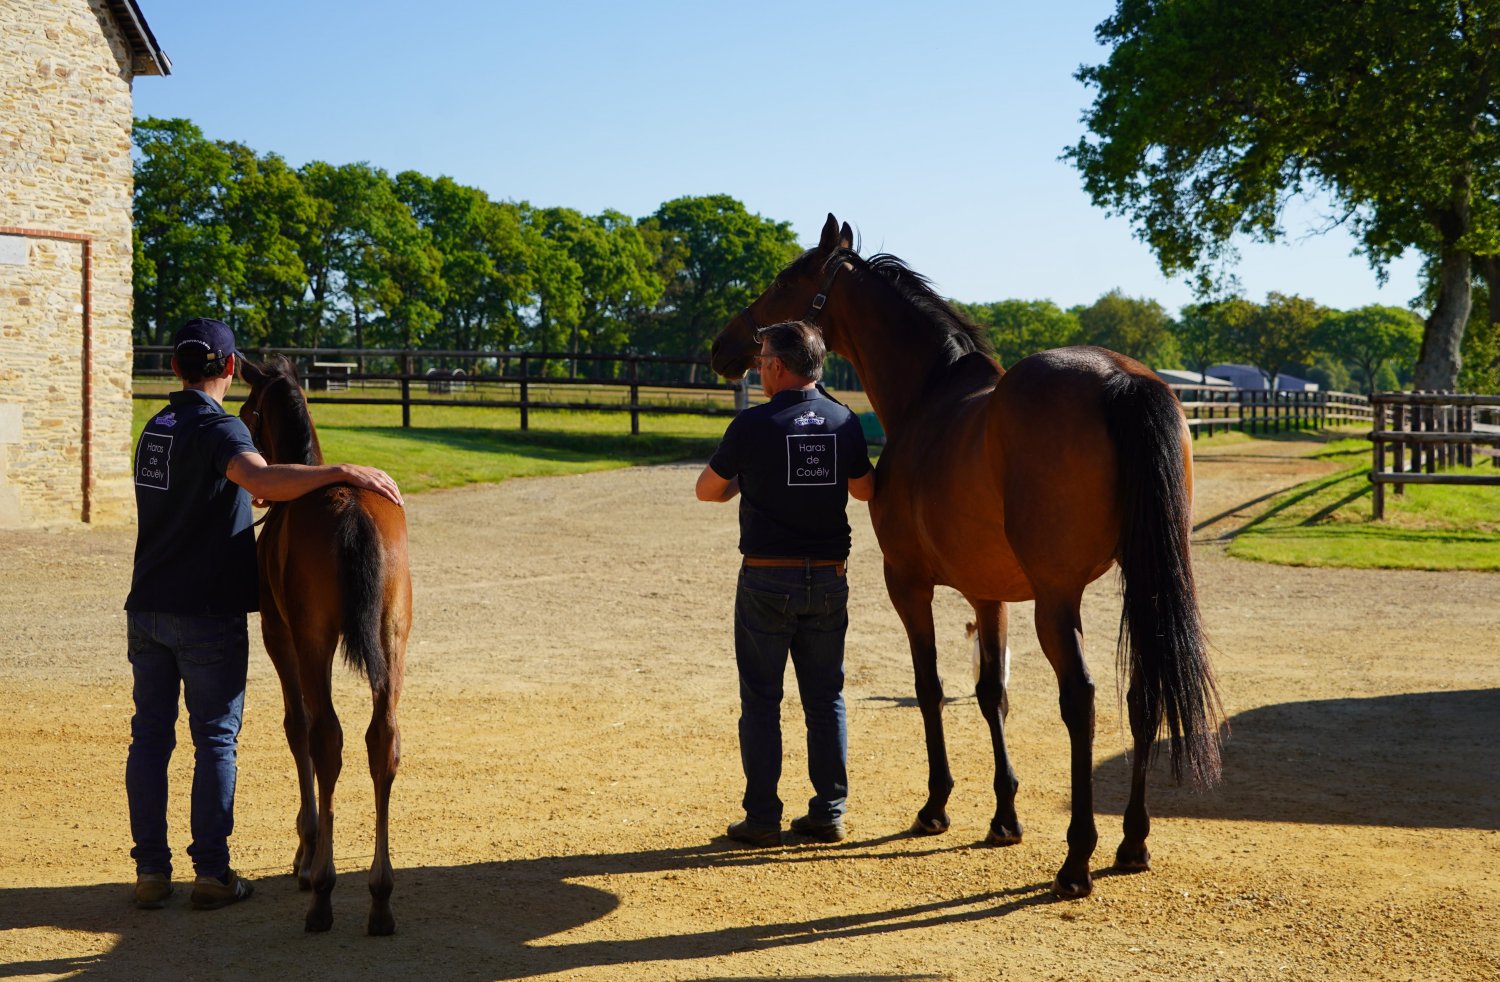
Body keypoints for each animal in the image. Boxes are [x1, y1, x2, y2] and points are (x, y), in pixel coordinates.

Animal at [709, 215, 1222, 898]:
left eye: (785, 281)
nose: (725, 346)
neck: (929, 397)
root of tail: (1121, 379)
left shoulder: (908, 584)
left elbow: (929, 688)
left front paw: (936, 805)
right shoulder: (990, 592)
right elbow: (990, 694)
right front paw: (1004, 815)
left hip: (1058, 599)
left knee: (1081, 701)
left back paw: (1077, 860)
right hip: (1142, 582)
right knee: (1142, 695)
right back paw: (1132, 842)